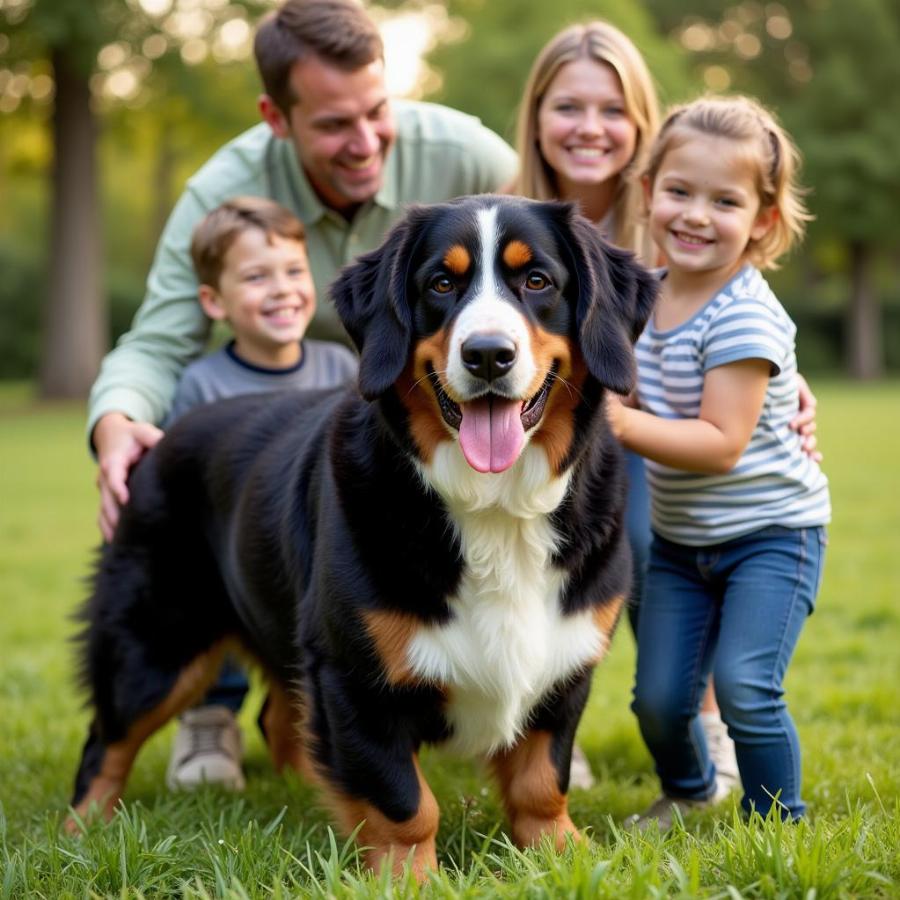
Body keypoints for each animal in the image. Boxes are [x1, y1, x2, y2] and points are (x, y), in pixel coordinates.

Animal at [70, 197, 656, 880]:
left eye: (537, 281)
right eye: (441, 284)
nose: (488, 354)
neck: (495, 506)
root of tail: (155, 442)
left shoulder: (564, 663)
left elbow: (541, 779)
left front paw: (563, 856)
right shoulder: (354, 675)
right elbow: (404, 800)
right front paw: (411, 878)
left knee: (280, 718)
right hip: (155, 646)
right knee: (106, 743)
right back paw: (80, 833)